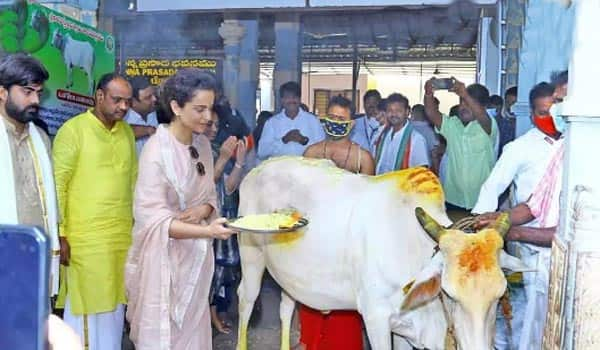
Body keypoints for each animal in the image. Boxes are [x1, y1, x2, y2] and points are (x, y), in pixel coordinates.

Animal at [237, 157, 528, 348]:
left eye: (499, 296)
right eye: (448, 294)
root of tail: (260, 167)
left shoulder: (405, 330)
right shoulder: (375, 319)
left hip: (289, 278)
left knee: (286, 309)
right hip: (251, 257)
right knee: (246, 300)